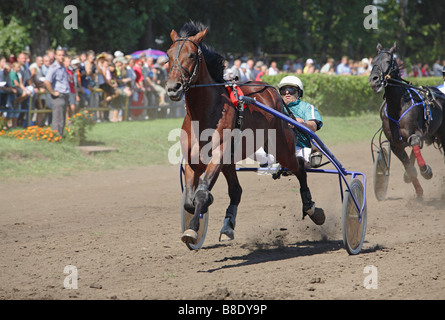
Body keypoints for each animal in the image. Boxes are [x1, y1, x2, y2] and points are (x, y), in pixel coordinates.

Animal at [165, 21, 324, 245]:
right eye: (168, 55)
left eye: (191, 55)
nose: (173, 88)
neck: (205, 113)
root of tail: (270, 90)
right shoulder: (193, 160)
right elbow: (189, 200)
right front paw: (196, 223)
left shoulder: (218, 155)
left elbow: (202, 195)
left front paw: (192, 230)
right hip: (232, 161)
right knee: (236, 191)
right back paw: (228, 226)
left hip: (281, 144)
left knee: (300, 169)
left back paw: (312, 208)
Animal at [368, 43, 444, 198]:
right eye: (373, 61)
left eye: (387, 61)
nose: (374, 79)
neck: (398, 107)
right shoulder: (395, 144)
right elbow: (409, 168)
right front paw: (418, 190)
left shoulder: (417, 133)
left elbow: (415, 145)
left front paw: (426, 171)